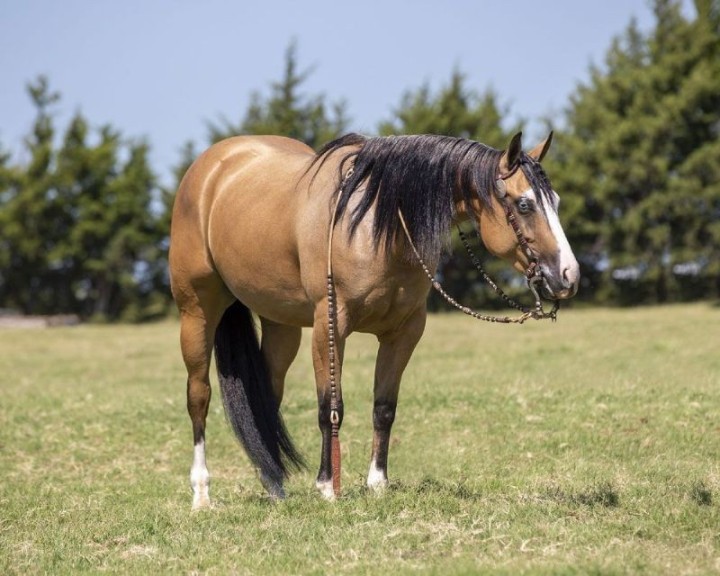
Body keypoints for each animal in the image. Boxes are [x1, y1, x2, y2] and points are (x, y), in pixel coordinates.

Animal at [168, 131, 580, 508]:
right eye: (524, 204)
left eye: (556, 202)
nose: (569, 276)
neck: (374, 225)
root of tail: (211, 167)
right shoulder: (330, 327)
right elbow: (329, 408)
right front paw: (327, 488)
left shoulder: (404, 332)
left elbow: (384, 408)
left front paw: (377, 484)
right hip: (197, 312)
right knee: (199, 395)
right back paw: (202, 494)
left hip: (281, 324)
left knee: (266, 398)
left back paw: (275, 486)